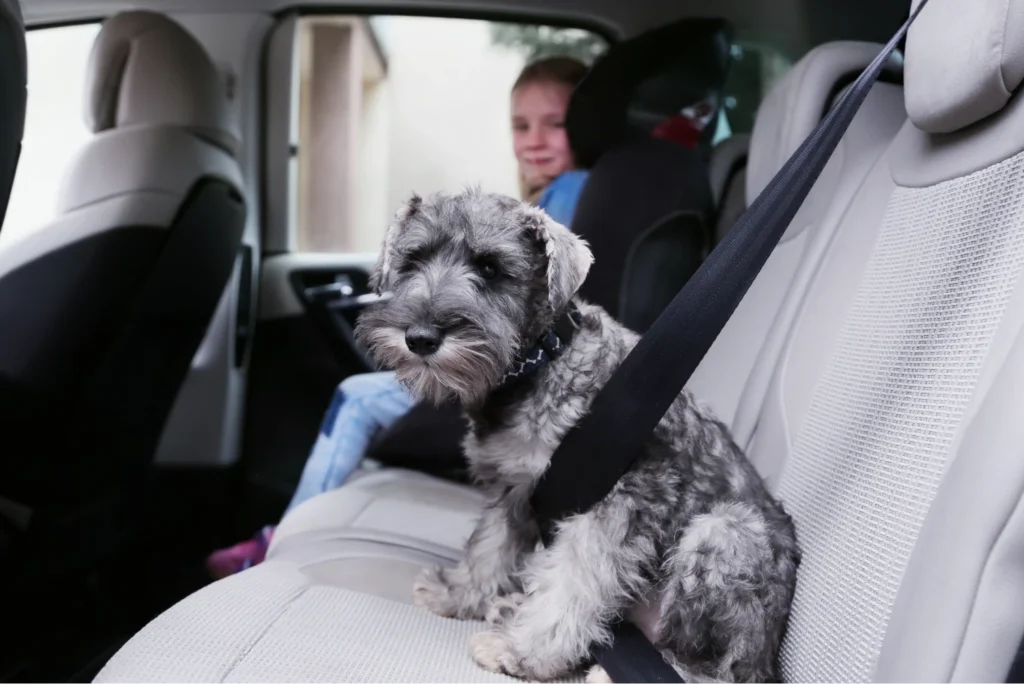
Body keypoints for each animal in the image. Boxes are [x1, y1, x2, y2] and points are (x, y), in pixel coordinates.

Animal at [356, 188, 802, 684]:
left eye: (490, 269)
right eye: (413, 260)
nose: (420, 337)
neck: (541, 360)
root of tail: (769, 656)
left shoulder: (616, 506)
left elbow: (575, 583)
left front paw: (522, 653)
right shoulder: (512, 489)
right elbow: (488, 548)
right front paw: (459, 594)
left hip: (723, 535)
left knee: (716, 666)